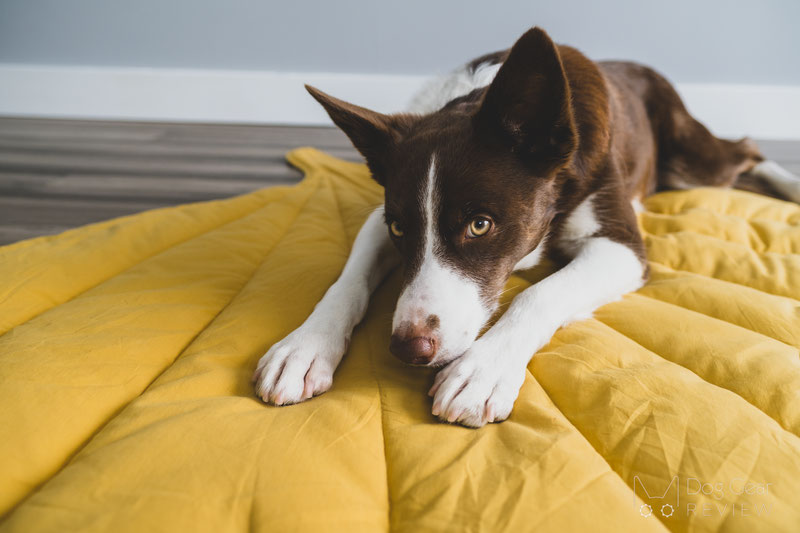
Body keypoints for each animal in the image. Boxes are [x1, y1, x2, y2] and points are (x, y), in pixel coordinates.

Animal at [252, 28, 800, 428]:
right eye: (401, 229)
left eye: (480, 225)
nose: (408, 349)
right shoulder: (377, 218)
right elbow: (346, 281)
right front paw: (303, 347)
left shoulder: (621, 246)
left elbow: (540, 293)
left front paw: (483, 371)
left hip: (691, 160)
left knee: (748, 151)